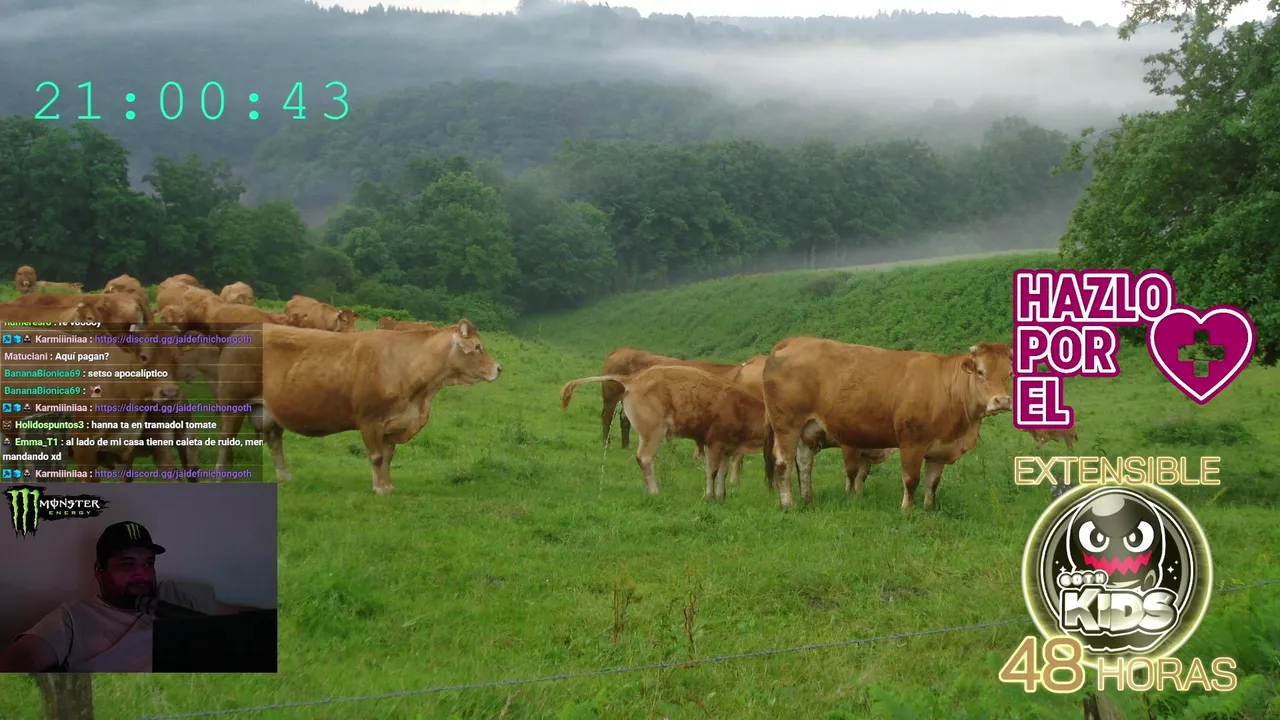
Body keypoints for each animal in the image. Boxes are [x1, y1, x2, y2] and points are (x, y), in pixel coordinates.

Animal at [214, 319, 501, 493]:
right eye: (478, 347)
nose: (499, 368)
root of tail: (242, 331)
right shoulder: (369, 420)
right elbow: (376, 457)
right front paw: (380, 489)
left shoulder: (394, 423)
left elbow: (387, 457)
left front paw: (388, 486)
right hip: (233, 404)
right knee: (226, 440)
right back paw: (221, 475)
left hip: (268, 410)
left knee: (274, 441)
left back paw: (285, 476)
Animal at [560, 365, 768, 500]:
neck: (740, 407)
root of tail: (634, 378)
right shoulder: (715, 443)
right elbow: (713, 471)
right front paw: (710, 497)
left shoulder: (727, 447)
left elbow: (723, 473)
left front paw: (721, 495)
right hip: (654, 431)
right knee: (645, 458)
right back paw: (654, 491)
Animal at [763, 337, 1012, 511]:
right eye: (980, 371)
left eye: (1009, 374)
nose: (1002, 400)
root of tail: (794, 341)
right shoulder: (912, 442)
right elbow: (911, 480)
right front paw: (907, 510)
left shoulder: (939, 449)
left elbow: (932, 482)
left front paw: (929, 509)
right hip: (786, 426)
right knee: (784, 464)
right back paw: (788, 504)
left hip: (808, 430)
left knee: (805, 464)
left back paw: (808, 500)